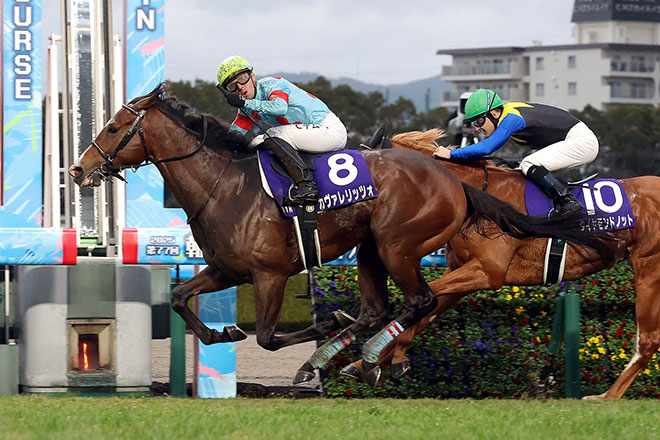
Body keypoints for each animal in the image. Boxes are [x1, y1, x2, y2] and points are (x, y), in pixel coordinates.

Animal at [67, 84, 612, 384]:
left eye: (114, 127)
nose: (78, 169)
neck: (225, 184)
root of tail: (453, 178)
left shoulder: (269, 274)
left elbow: (267, 337)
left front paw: (323, 326)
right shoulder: (226, 269)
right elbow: (182, 299)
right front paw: (223, 332)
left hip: (397, 245)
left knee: (419, 301)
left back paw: (365, 357)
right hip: (370, 247)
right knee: (382, 307)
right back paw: (347, 355)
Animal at [343, 128, 660, 400]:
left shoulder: (488, 271)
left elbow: (424, 300)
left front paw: (379, 357)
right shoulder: (463, 274)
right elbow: (426, 311)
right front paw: (367, 364)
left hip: (648, 268)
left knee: (648, 340)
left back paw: (606, 396)